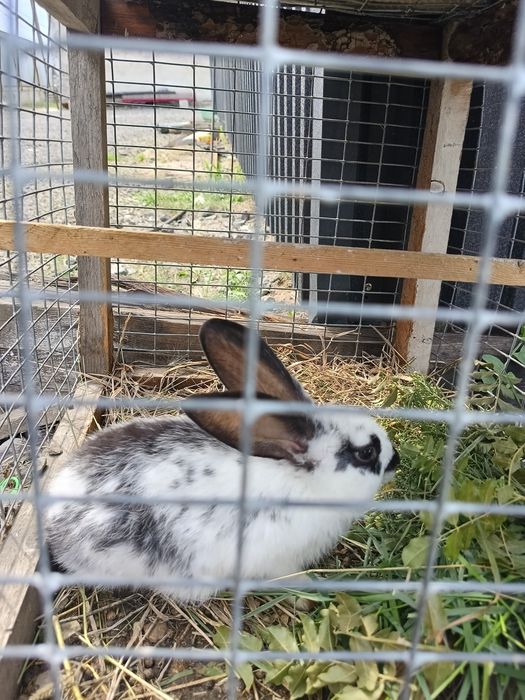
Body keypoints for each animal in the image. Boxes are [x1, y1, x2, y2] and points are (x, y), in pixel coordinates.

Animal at [45, 318, 399, 602]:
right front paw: (308, 587)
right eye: (366, 452)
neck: (306, 482)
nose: (396, 460)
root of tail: (53, 525)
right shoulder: (275, 560)